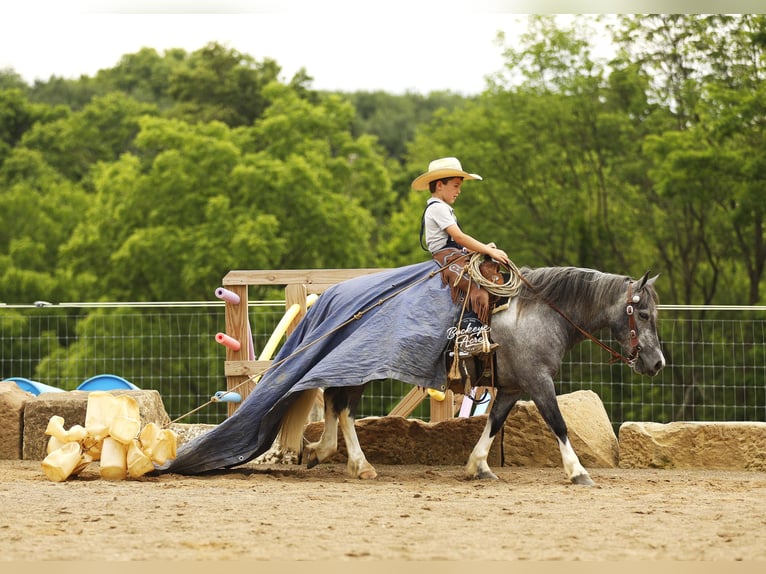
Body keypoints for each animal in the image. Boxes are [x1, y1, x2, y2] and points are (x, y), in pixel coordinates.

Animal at [275, 266, 666, 486]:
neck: (538, 314)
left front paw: (478, 466)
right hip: (361, 371)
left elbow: (493, 423)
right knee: (344, 409)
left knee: (333, 402)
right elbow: (558, 424)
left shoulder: (511, 388)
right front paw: (578, 471)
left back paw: (320, 451)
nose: (658, 363)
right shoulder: (539, 382)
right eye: (644, 314)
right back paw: (360, 464)